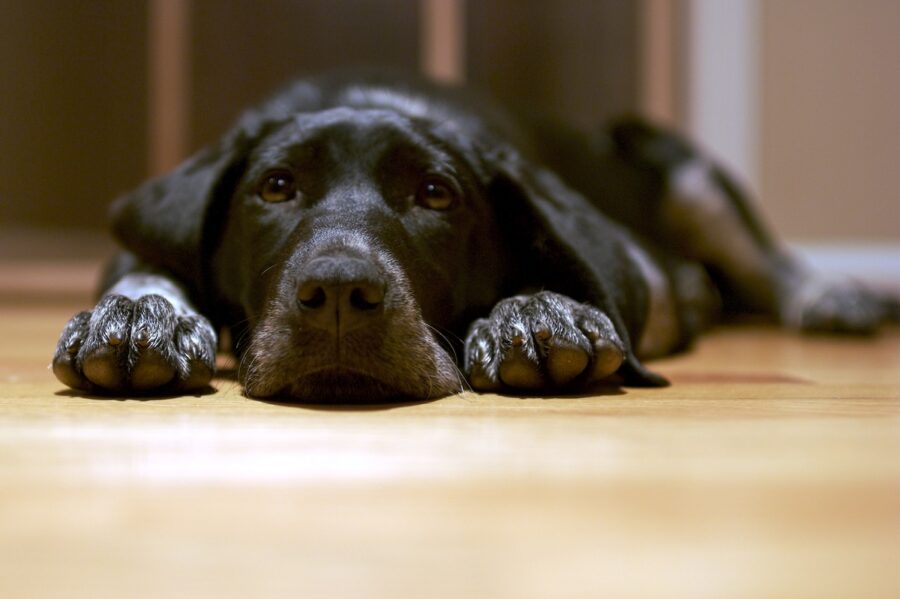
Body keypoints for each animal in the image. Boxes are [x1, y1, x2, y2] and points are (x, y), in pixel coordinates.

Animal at [54, 71, 892, 404]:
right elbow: (146, 270)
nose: (338, 295)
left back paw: (835, 294)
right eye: (277, 186)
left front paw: (535, 311)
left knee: (771, 263)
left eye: (436, 194)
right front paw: (138, 316)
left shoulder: (638, 267)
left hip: (681, 169)